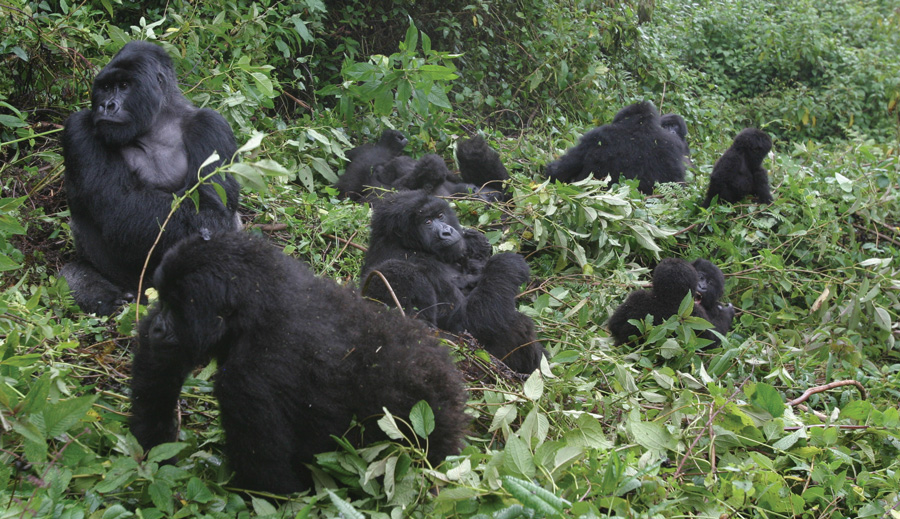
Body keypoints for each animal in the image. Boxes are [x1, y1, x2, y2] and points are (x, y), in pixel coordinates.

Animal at [61, 40, 241, 314]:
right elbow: (120, 205)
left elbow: (212, 211)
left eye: (124, 86)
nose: (106, 105)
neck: (156, 124)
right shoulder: (79, 127)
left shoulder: (212, 125)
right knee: (71, 274)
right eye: (105, 88)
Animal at [129, 233, 468, 496]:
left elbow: (268, 482)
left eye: (177, 310)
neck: (257, 300)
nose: (157, 328)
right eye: (164, 301)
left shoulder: (250, 379)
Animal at [360, 191, 544, 374]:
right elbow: (462, 323)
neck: (407, 244)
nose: (447, 232)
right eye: (427, 222)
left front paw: (476, 245)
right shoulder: (416, 263)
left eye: (440, 216)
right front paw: (507, 264)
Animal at [604, 258, 732, 348]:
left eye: (710, 283)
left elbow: (711, 340)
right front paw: (728, 312)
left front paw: (727, 312)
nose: (702, 287)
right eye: (701, 277)